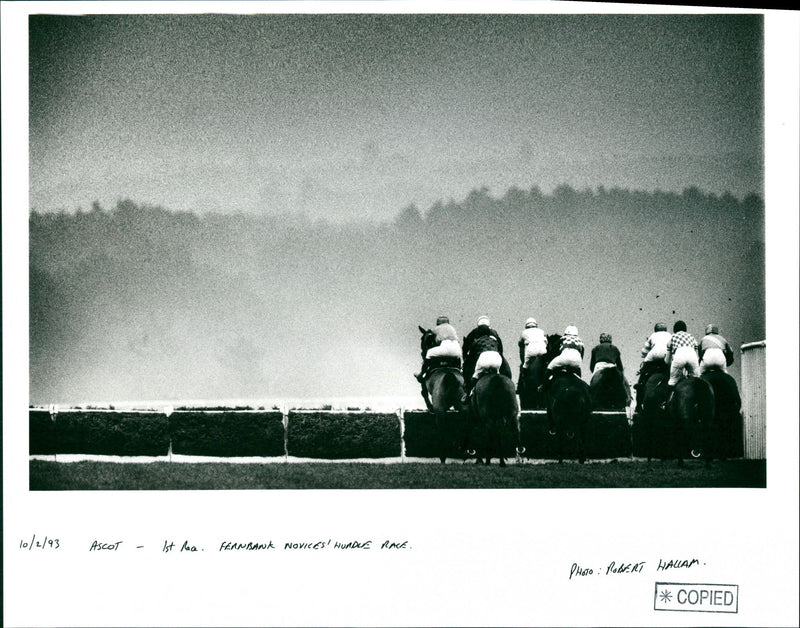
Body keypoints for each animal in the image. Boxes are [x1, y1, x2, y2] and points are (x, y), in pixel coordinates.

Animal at [418, 326, 468, 464]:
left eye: (422, 339)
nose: (422, 353)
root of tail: (450, 377)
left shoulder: (425, 383)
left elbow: (423, 391)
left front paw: (429, 407)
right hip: (463, 406)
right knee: (465, 424)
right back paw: (463, 450)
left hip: (440, 410)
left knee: (442, 432)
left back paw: (443, 457)